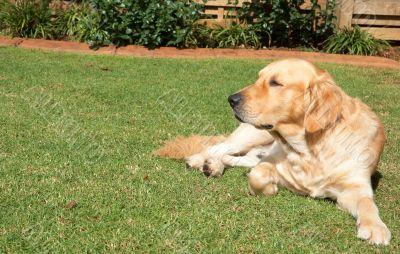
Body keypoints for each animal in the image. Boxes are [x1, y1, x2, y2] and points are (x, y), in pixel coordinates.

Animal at [155, 58, 392, 245]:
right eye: (259, 78)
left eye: (275, 83)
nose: (231, 99)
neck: (311, 147)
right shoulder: (270, 164)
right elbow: (258, 175)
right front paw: (269, 189)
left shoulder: (355, 187)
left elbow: (367, 204)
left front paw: (375, 227)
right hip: (252, 135)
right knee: (218, 147)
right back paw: (199, 160)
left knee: (233, 157)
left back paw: (213, 166)